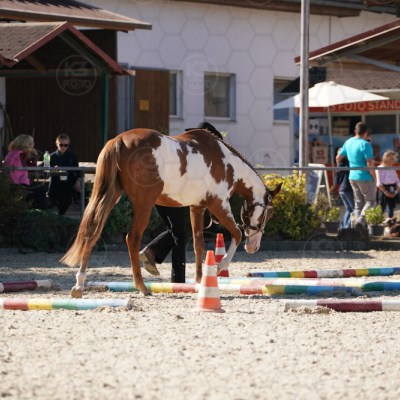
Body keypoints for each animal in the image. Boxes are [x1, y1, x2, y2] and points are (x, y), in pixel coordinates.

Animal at [61, 128, 282, 297]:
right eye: (268, 215)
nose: (253, 247)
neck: (226, 161)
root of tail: (118, 141)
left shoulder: (197, 207)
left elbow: (198, 243)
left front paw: (200, 280)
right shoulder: (218, 204)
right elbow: (236, 233)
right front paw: (218, 268)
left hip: (110, 195)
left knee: (92, 232)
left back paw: (79, 285)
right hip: (144, 204)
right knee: (132, 238)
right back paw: (142, 287)